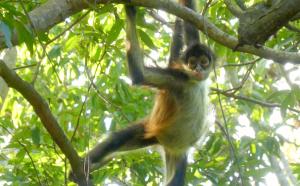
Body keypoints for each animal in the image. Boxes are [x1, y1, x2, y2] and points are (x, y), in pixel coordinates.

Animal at [70, 0, 214, 185]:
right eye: (192, 63)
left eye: (203, 62)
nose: (198, 69)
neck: (194, 81)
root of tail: (165, 143)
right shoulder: (177, 79)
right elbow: (140, 75)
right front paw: (130, 11)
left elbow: (189, 24)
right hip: (150, 132)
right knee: (117, 140)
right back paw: (81, 169)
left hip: (178, 153)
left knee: (176, 180)